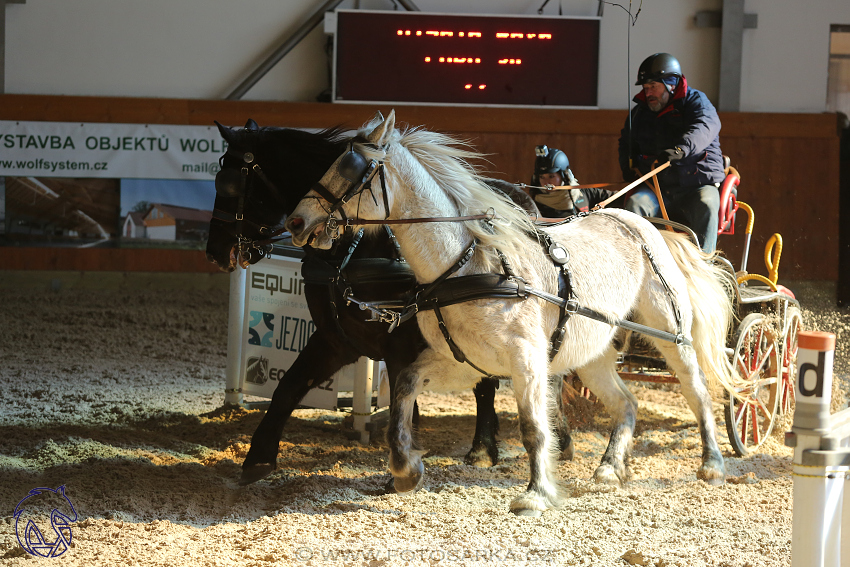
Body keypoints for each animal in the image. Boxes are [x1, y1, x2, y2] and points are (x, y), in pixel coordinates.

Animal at [204, 118, 568, 484]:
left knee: (500, 382)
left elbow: (401, 403)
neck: (353, 251)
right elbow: (287, 387)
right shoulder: (337, 340)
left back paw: (490, 448)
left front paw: (402, 467)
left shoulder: (399, 346)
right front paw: (258, 459)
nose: (215, 252)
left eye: (229, 183)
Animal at [286, 112, 736, 520]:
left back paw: (712, 463)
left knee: (697, 391)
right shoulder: (461, 360)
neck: (466, 265)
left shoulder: (527, 360)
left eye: (351, 169)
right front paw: (406, 470)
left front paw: (536, 494)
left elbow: (534, 428)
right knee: (625, 402)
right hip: (592, 355)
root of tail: (643, 225)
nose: (296, 220)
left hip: (669, 333)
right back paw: (610, 468)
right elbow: (403, 391)